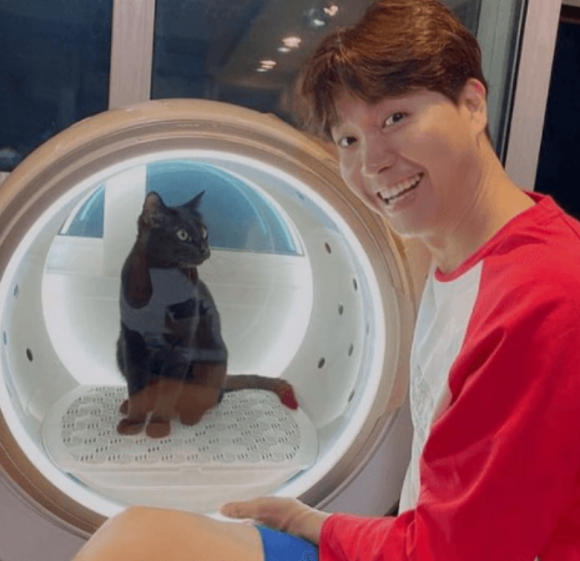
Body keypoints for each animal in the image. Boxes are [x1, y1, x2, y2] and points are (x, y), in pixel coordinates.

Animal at [116, 190, 298, 438]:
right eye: (182, 234)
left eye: (203, 232)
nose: (205, 248)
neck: (162, 284)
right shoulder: (132, 343)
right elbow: (137, 387)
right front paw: (134, 422)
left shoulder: (180, 345)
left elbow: (167, 391)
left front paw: (158, 426)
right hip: (119, 349)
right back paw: (127, 406)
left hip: (211, 363)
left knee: (211, 397)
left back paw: (189, 415)